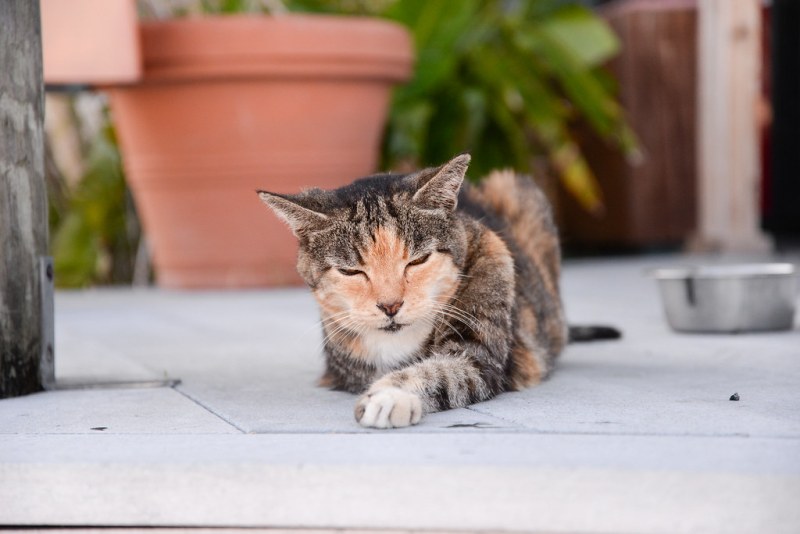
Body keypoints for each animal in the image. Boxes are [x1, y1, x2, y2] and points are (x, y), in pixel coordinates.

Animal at [258, 154, 617, 429]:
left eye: (418, 260)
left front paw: (389, 396)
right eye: (351, 271)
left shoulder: (481, 357)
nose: (390, 305)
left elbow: (441, 371)